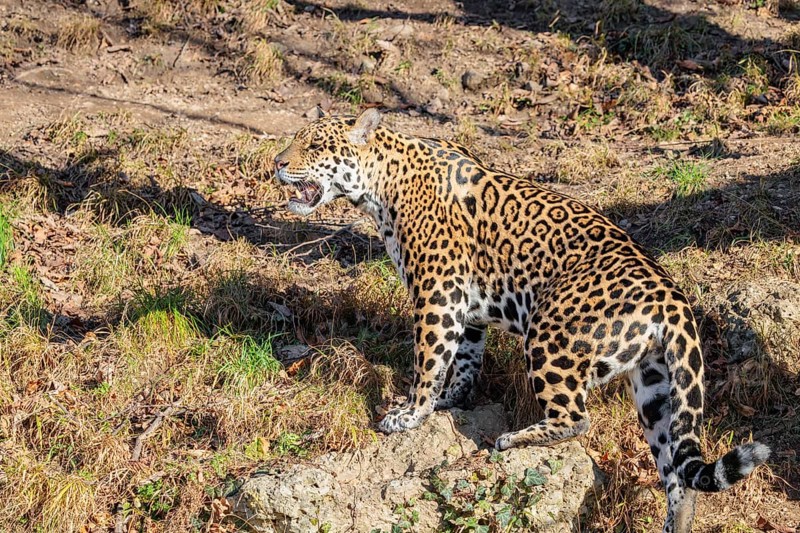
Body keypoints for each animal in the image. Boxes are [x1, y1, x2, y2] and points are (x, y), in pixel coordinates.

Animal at [272, 108, 770, 533]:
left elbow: (428, 361)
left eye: (314, 145)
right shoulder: (465, 305)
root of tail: (673, 296)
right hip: (657, 384)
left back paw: (513, 440)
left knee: (577, 417)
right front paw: (451, 400)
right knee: (678, 474)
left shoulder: (437, 294)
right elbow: (465, 358)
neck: (381, 184)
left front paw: (410, 414)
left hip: (550, 332)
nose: (277, 163)